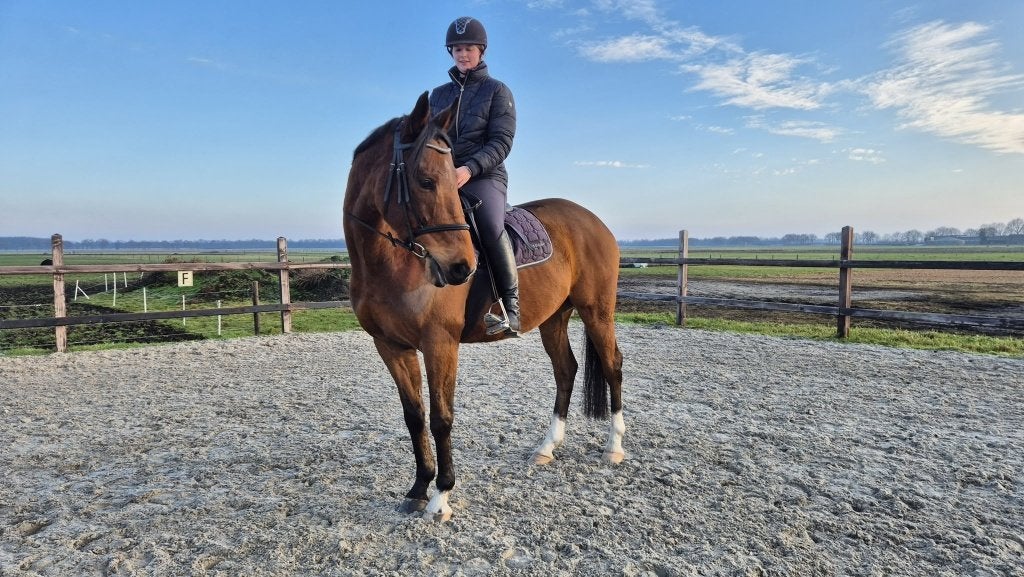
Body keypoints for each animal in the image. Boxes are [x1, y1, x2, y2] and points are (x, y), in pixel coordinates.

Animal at [343, 92, 625, 521]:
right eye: (425, 181)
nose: (462, 268)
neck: (391, 263)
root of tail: (593, 221)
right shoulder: (391, 346)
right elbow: (414, 417)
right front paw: (418, 488)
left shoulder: (440, 344)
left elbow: (441, 418)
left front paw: (441, 497)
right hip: (554, 318)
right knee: (566, 370)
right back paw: (547, 448)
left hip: (596, 311)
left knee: (612, 366)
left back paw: (614, 447)